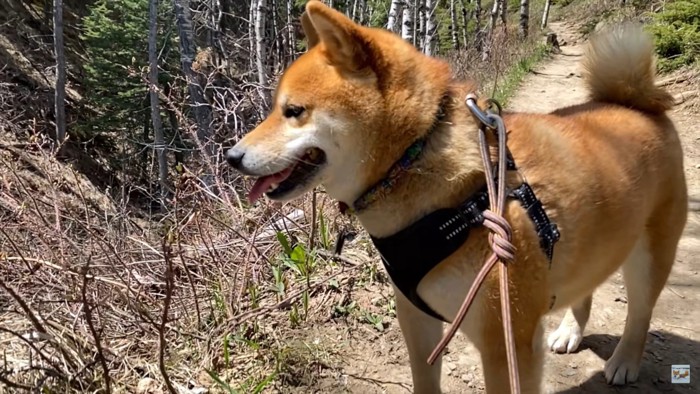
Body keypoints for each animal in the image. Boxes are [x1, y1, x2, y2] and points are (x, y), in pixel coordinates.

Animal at [226, 1, 688, 392]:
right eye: (276, 108)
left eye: (294, 111)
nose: (231, 157)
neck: (412, 161)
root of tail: (639, 106)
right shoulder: (417, 319)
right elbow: (424, 381)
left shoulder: (507, 339)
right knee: (587, 287)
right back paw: (571, 332)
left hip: (650, 257)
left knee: (640, 312)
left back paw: (624, 361)